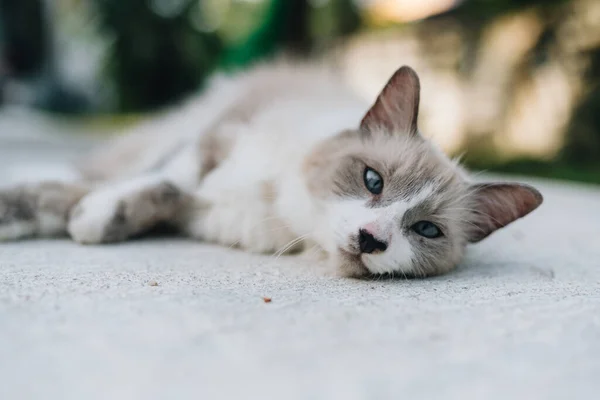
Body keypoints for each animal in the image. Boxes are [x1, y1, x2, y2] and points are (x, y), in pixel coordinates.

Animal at [0, 59, 544, 278]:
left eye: (427, 230)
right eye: (373, 181)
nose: (372, 239)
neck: (282, 208)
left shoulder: (192, 209)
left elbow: (147, 197)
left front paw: (87, 221)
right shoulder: (215, 138)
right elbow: (162, 182)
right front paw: (89, 218)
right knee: (99, 166)